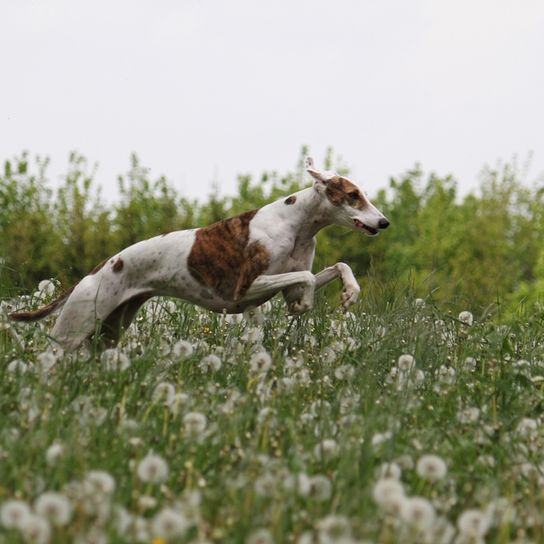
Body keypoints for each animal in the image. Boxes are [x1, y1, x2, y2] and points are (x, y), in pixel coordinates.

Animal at [9, 157, 392, 352]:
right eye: (353, 195)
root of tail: (96, 270)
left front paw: (350, 291)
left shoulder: (284, 285)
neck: (297, 224)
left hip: (107, 334)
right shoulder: (244, 290)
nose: (384, 222)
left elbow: (334, 266)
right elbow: (308, 277)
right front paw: (308, 303)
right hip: (73, 331)